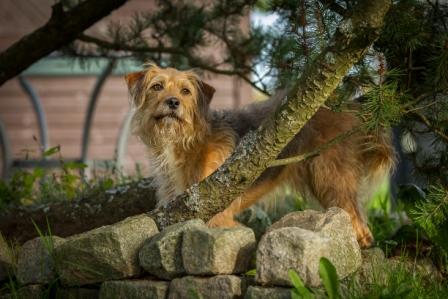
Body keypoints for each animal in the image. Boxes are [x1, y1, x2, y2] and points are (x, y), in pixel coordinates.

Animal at [124, 63, 394, 248]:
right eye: (157, 86)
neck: (186, 140)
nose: (173, 102)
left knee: (358, 223)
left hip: (330, 178)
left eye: (186, 91)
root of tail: (349, 106)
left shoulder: (216, 212)